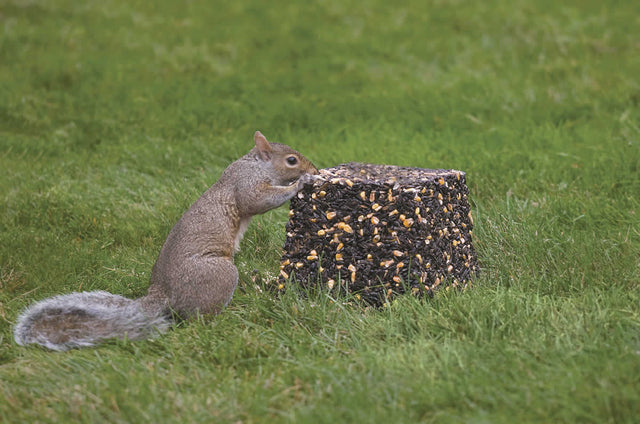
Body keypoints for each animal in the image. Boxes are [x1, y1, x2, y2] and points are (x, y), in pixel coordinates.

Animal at [12, 132, 318, 352]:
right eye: (291, 160)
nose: (315, 167)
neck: (253, 164)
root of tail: (163, 294)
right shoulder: (245, 185)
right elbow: (257, 201)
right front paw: (300, 183)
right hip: (218, 275)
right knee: (199, 318)